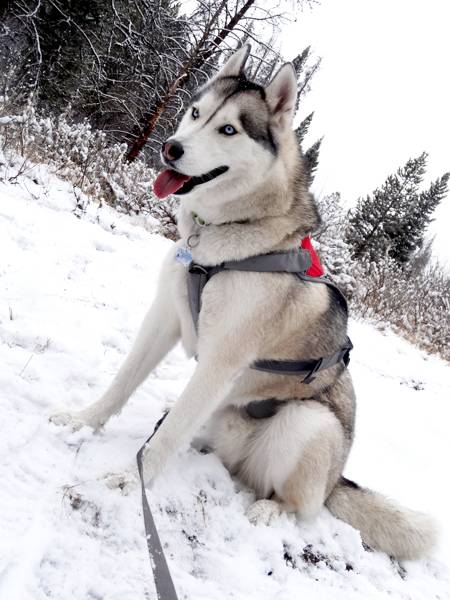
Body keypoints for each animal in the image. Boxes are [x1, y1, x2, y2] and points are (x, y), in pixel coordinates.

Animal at [50, 45, 436, 556]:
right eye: (196, 113)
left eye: (229, 129)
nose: (171, 148)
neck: (221, 238)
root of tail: (336, 480)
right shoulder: (164, 319)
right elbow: (121, 386)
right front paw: (83, 421)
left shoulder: (221, 361)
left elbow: (164, 440)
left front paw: (129, 482)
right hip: (227, 417)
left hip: (308, 423)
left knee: (300, 505)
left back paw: (269, 510)